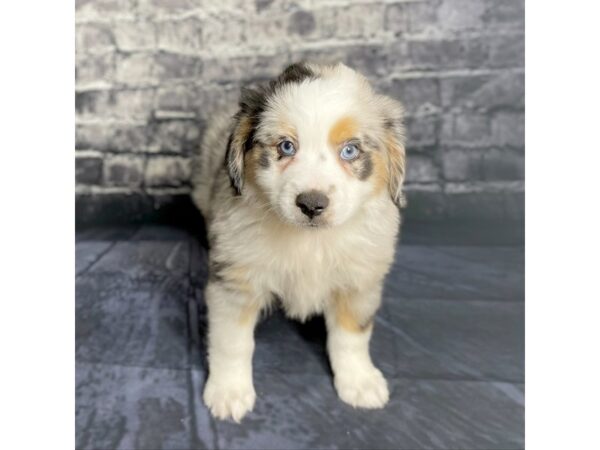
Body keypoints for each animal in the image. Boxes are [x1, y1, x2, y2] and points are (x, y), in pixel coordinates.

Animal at [192, 60, 408, 422]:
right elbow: (232, 341)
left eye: (350, 150)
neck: (309, 241)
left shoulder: (359, 279)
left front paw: (359, 382)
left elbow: (351, 335)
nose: (311, 204)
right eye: (286, 146)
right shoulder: (235, 279)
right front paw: (229, 391)